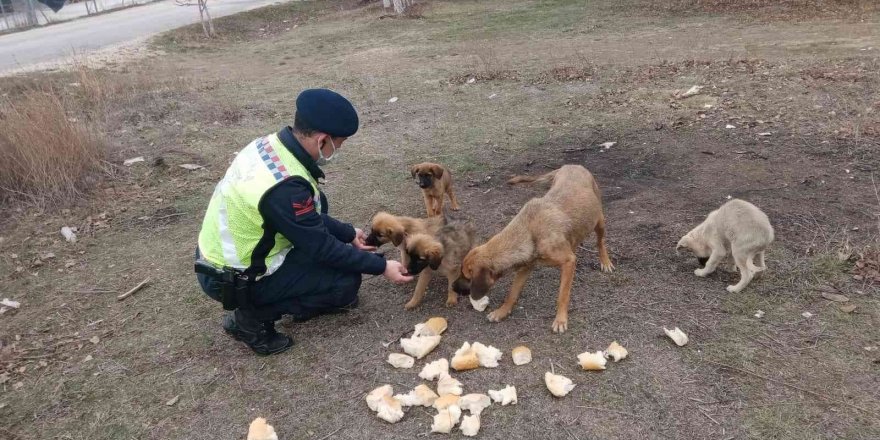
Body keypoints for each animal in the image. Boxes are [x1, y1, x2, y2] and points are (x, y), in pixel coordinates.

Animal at [454, 165, 612, 334]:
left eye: (467, 276)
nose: (453, 288)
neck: (529, 232)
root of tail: (572, 165)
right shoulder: (525, 267)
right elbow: (512, 294)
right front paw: (502, 312)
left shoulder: (568, 261)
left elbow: (562, 295)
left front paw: (560, 319)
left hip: (599, 221)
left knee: (600, 242)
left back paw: (606, 262)